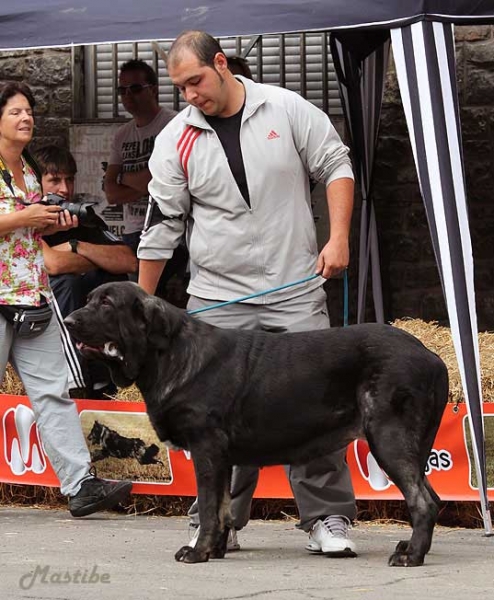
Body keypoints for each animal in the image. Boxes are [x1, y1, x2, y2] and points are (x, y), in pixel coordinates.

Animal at [64, 282, 448, 568]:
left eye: (107, 303)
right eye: (89, 300)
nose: (68, 320)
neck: (169, 356)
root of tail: (432, 357)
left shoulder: (206, 448)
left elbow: (208, 506)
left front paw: (198, 553)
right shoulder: (223, 458)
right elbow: (222, 507)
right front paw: (215, 549)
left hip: (388, 437)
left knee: (422, 502)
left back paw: (412, 556)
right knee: (429, 496)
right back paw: (410, 548)